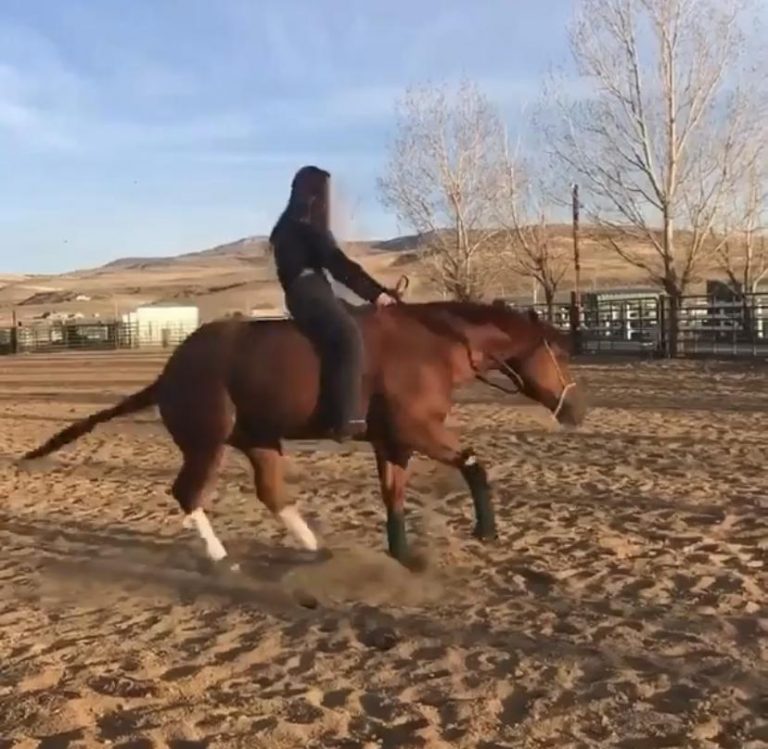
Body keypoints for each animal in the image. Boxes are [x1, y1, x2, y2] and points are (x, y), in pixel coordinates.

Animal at [21, 298, 586, 571]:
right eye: (559, 352)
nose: (577, 412)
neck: (433, 346)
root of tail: (168, 373)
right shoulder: (418, 431)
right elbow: (473, 461)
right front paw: (486, 530)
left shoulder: (393, 443)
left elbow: (394, 499)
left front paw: (404, 558)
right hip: (207, 443)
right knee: (188, 494)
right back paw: (223, 561)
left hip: (259, 440)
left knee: (271, 493)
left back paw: (317, 550)